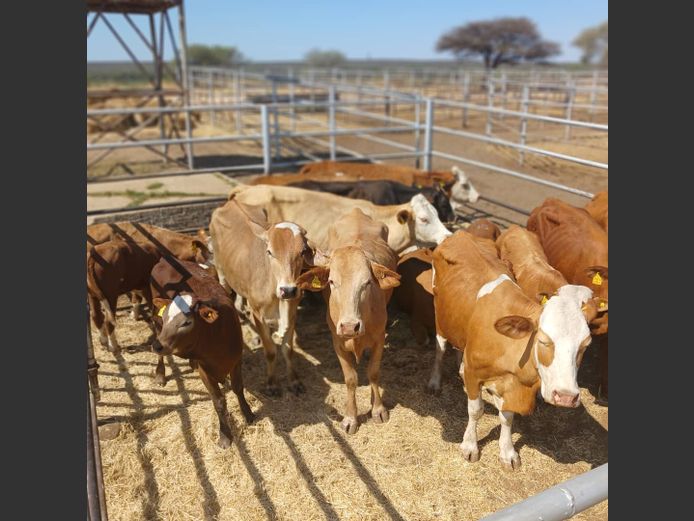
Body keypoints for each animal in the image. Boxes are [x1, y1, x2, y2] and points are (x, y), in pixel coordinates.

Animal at [150, 259, 255, 449]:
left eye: (187, 322)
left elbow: (238, 388)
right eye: (166, 317)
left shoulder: (236, 360)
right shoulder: (205, 371)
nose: (156, 345)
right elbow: (218, 401)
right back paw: (160, 374)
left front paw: (248, 414)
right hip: (156, 323)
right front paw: (225, 436)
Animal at [209, 195, 313, 396]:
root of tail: (231, 202)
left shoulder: (292, 311)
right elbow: (271, 351)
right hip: (221, 272)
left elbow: (288, 350)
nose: (288, 290)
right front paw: (271, 384)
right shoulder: (258, 313)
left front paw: (294, 381)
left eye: (303, 251)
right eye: (270, 252)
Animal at [297, 208, 401, 434]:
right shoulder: (337, 341)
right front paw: (351, 417)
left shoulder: (380, 338)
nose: (350, 326)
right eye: (331, 282)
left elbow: (373, 372)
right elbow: (351, 379)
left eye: (367, 283)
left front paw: (378, 409)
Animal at [428, 230, 597, 469]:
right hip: (440, 316)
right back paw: (435, 381)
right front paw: (470, 446)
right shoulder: (475, 373)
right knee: (440, 348)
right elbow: (475, 410)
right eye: (543, 340)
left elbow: (507, 417)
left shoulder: (511, 383)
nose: (565, 397)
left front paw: (507, 452)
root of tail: (459, 233)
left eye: (585, 344)